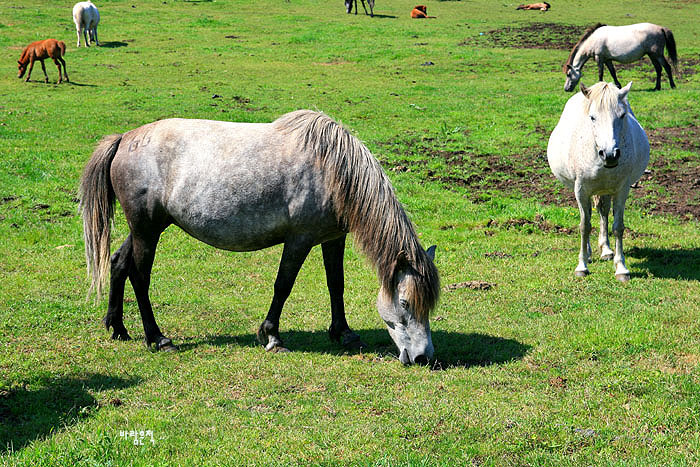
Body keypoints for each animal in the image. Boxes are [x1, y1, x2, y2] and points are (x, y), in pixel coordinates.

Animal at [80, 110, 438, 366]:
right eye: (405, 303)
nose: (423, 357)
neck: (333, 170)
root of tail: (124, 139)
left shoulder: (332, 238)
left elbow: (336, 284)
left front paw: (345, 334)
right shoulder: (299, 240)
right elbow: (283, 285)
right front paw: (272, 336)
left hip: (145, 229)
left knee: (118, 263)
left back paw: (118, 328)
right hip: (147, 230)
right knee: (140, 276)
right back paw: (158, 338)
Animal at [548, 81, 652, 282]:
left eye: (622, 115)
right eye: (592, 117)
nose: (610, 154)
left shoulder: (621, 190)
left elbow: (618, 226)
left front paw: (621, 268)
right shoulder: (581, 190)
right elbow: (584, 226)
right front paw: (582, 266)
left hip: (606, 190)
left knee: (603, 212)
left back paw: (606, 250)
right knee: (589, 215)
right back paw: (588, 253)